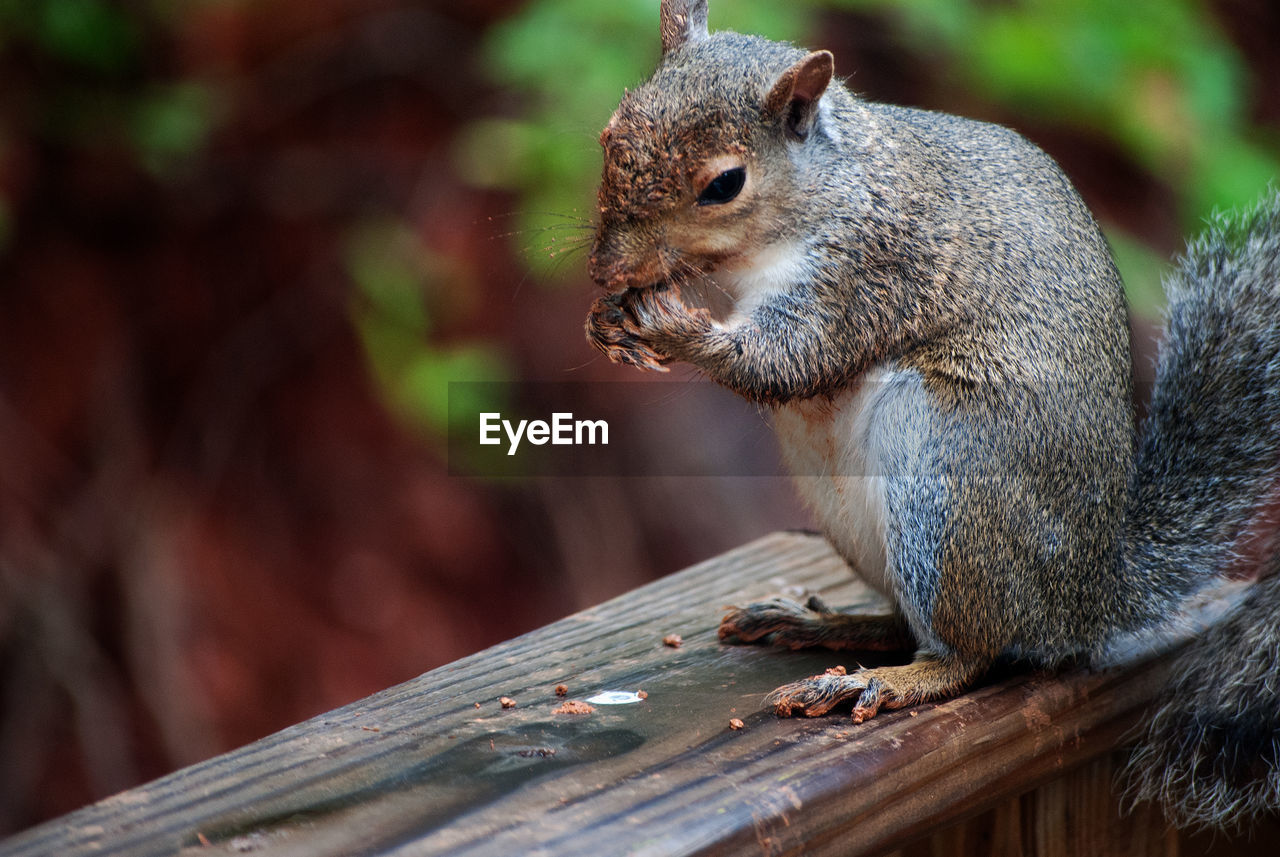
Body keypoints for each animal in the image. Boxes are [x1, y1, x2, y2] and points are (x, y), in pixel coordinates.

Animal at [583, 0, 1280, 833]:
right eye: (610, 132)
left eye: (725, 183)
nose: (607, 270)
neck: (831, 185)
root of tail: (1086, 596)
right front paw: (605, 322)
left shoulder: (866, 271)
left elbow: (789, 361)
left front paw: (671, 325)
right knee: (902, 622)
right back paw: (825, 626)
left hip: (948, 477)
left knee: (971, 652)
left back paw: (885, 680)